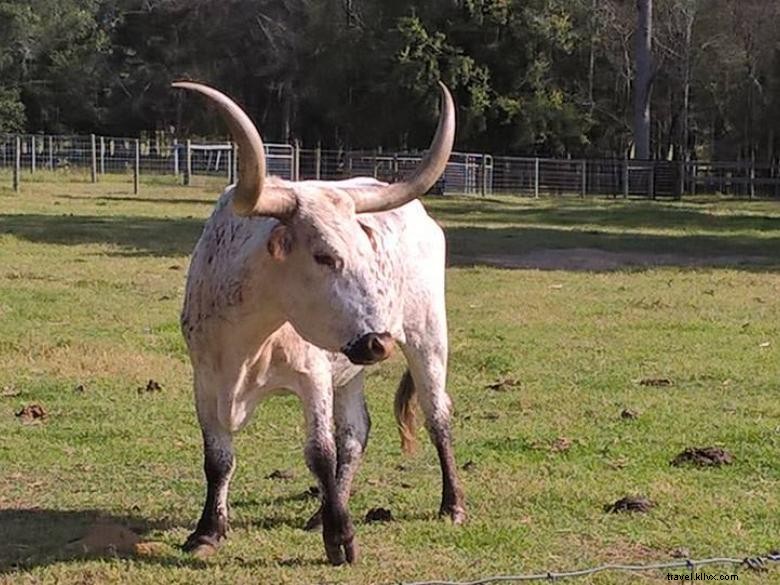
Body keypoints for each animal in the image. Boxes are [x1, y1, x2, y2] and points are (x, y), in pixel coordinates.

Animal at [174, 80, 466, 564]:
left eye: (367, 251)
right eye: (323, 255)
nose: (379, 340)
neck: (250, 341)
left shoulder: (312, 376)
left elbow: (320, 453)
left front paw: (341, 538)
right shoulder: (205, 381)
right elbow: (217, 457)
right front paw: (207, 531)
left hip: (427, 336)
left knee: (436, 414)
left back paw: (453, 504)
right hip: (349, 366)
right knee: (356, 432)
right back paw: (323, 511)